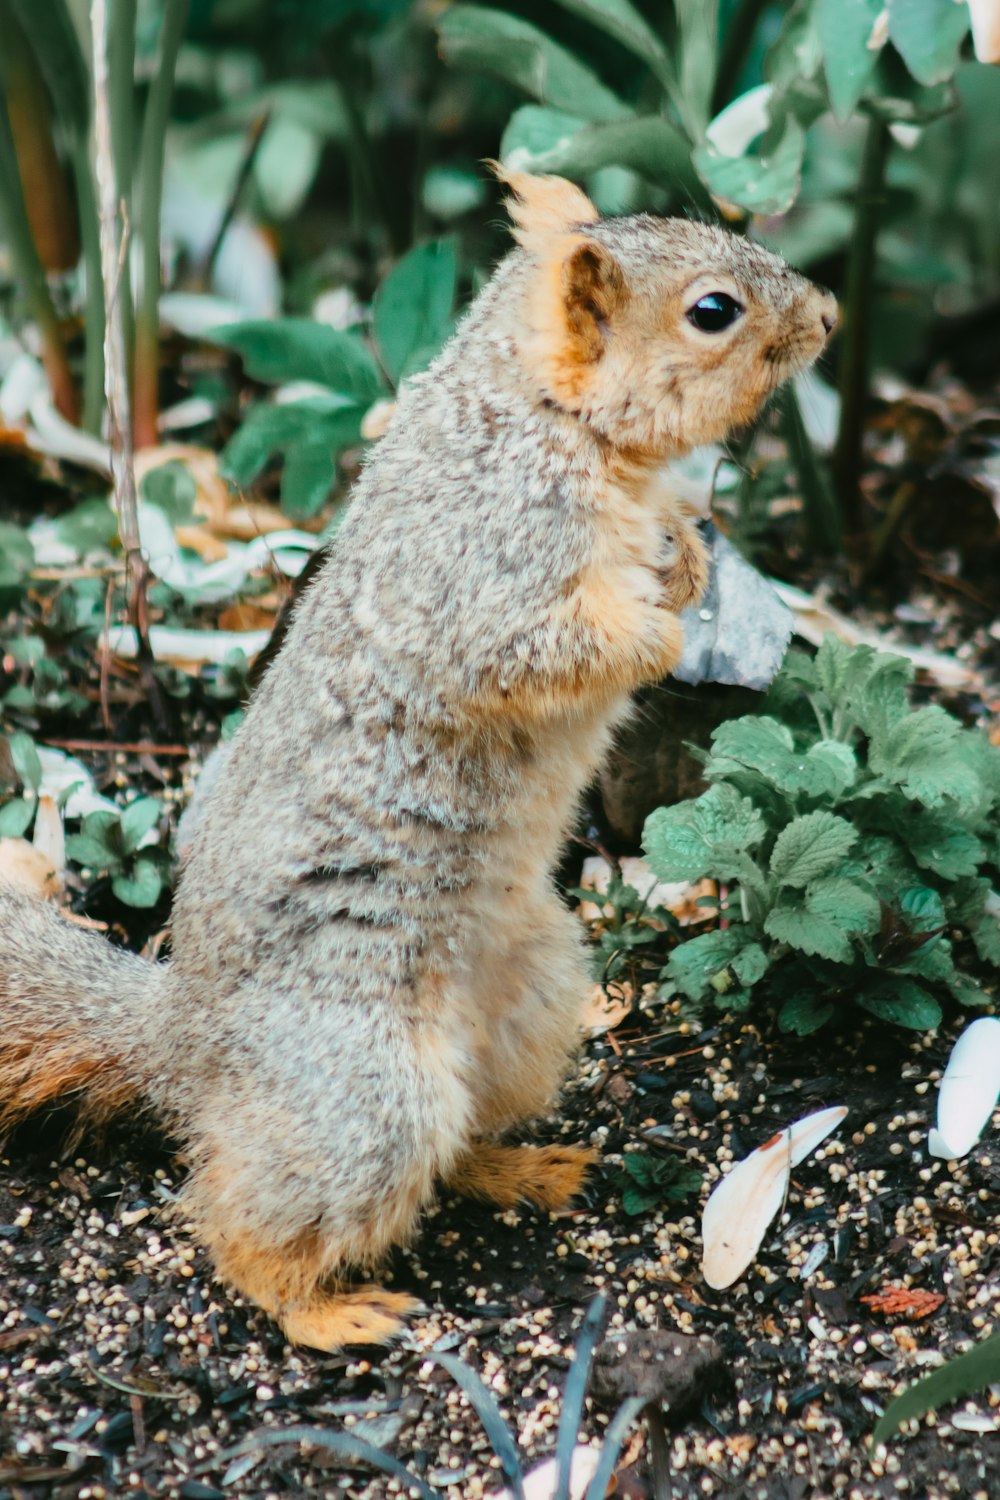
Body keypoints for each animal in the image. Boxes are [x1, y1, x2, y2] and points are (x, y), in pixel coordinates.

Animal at [0, 172, 839, 1350]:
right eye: (712, 311)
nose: (828, 318)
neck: (546, 421)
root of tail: (185, 1042)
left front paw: (683, 563)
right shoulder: (485, 575)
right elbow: (542, 648)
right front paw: (657, 628)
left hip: (534, 1001)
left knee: (454, 1149)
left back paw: (522, 1168)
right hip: (363, 1094)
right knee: (243, 1224)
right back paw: (323, 1311)